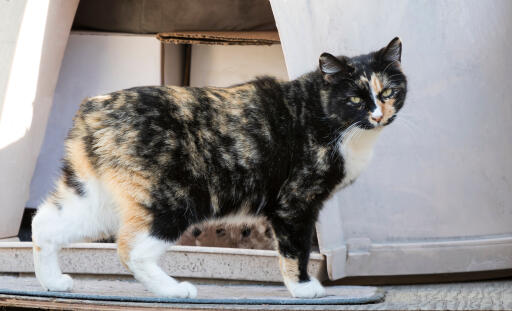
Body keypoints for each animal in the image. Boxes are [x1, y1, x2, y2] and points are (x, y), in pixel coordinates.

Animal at [32, 37, 408, 300]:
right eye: (355, 98)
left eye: (389, 92)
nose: (379, 115)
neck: (324, 113)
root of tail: (94, 107)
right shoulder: (295, 204)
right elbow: (295, 248)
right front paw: (302, 288)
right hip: (173, 200)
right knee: (131, 249)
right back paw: (174, 290)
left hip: (94, 198)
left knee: (44, 223)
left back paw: (53, 282)